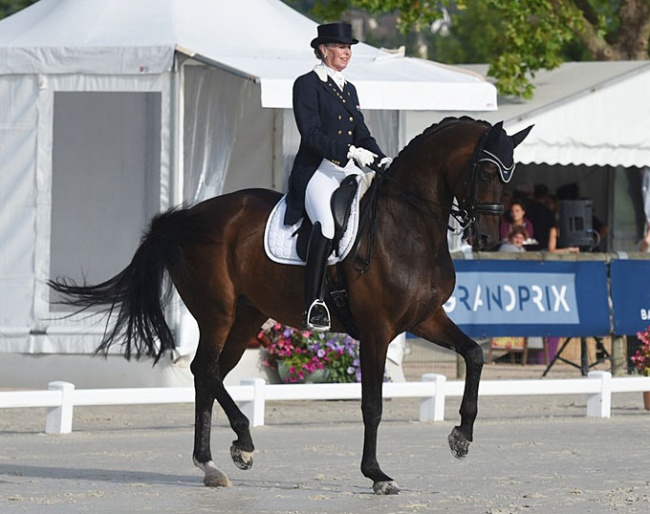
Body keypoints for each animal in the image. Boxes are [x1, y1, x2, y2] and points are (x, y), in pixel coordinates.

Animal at [48, 115, 528, 492]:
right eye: (486, 171)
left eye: (510, 175)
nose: (487, 237)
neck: (408, 226)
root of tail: (188, 217)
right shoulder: (377, 330)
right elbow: (372, 404)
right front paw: (376, 474)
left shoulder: (425, 318)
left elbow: (474, 355)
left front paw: (461, 436)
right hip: (217, 313)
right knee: (204, 370)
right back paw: (228, 450)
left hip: (246, 316)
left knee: (211, 375)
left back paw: (220, 459)